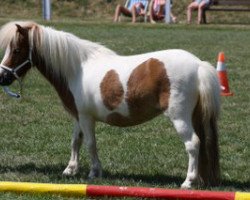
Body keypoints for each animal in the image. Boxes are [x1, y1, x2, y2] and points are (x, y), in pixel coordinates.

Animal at [0, 21, 221, 188]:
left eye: (17, 50)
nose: (2, 76)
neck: (77, 69)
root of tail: (198, 65)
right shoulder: (78, 116)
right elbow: (75, 141)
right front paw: (70, 169)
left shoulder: (86, 118)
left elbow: (90, 143)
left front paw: (94, 172)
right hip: (195, 116)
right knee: (202, 143)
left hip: (179, 117)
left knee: (193, 144)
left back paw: (188, 181)